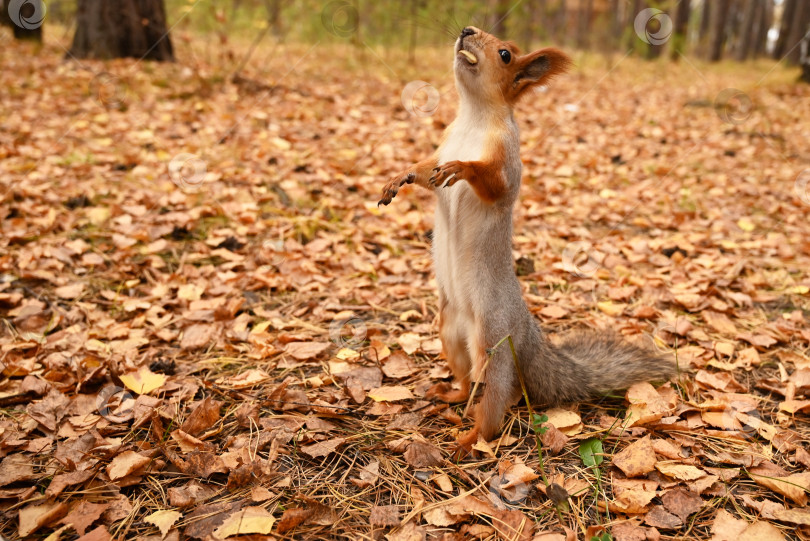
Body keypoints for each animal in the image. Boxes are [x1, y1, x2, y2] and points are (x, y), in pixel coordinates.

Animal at [378, 27, 676, 454]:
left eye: (505, 54)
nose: (467, 31)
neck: (473, 118)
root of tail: (526, 332)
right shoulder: (440, 149)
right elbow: (423, 170)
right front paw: (396, 178)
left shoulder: (507, 161)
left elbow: (494, 184)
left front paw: (462, 168)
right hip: (449, 332)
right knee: (466, 380)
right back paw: (450, 396)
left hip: (494, 343)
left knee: (494, 404)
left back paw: (469, 440)